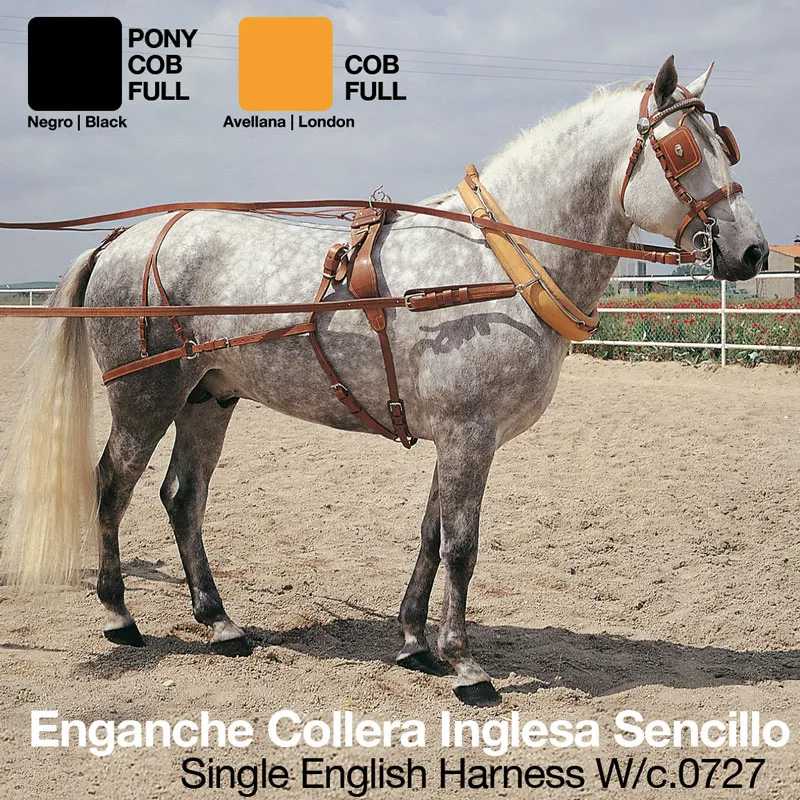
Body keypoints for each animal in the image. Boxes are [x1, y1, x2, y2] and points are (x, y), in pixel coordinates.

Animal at [2, 56, 766, 706]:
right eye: (684, 150)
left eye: (728, 144)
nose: (753, 250)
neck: (495, 264)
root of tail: (126, 238)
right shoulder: (468, 436)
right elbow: (461, 547)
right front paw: (465, 664)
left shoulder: (457, 439)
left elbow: (430, 537)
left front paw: (414, 644)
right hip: (146, 397)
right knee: (112, 486)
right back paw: (119, 616)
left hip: (208, 397)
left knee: (182, 498)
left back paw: (221, 624)